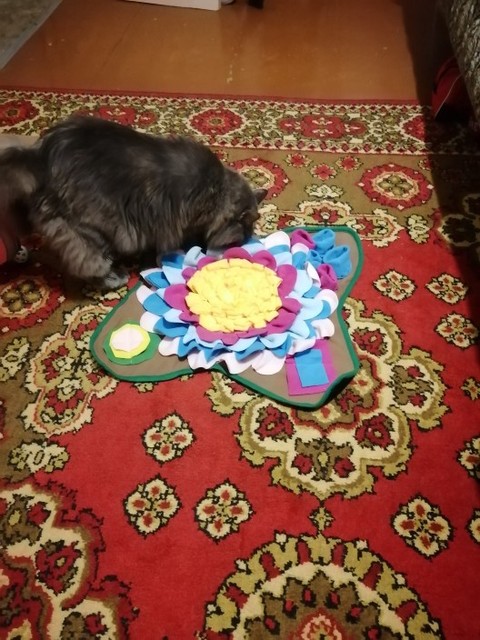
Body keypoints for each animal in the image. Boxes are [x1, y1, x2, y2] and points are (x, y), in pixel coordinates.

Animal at [0, 115, 267, 289]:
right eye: (239, 239)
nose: (242, 244)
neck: (215, 190)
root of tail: (38, 156)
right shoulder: (175, 220)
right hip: (87, 229)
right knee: (88, 262)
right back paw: (113, 278)